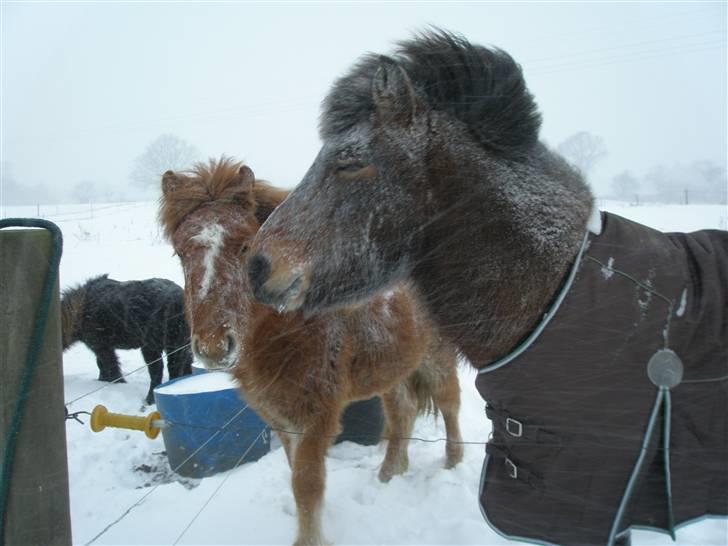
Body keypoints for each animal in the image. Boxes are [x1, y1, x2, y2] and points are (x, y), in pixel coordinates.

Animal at [62, 274, 192, 402]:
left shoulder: (101, 347)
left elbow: (110, 366)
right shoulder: (102, 347)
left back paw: (150, 399)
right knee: (184, 366)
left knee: (159, 371)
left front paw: (118, 382)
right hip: (181, 344)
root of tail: (177, 300)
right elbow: (101, 365)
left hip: (154, 347)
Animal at [158, 157, 460, 544]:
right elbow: (295, 472)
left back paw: (452, 463)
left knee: (449, 404)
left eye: (243, 246)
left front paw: (310, 538)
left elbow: (307, 483)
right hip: (393, 368)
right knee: (402, 413)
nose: (214, 346)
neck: (294, 323)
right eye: (180, 253)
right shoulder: (279, 415)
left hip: (436, 359)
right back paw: (389, 473)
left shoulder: (316, 415)